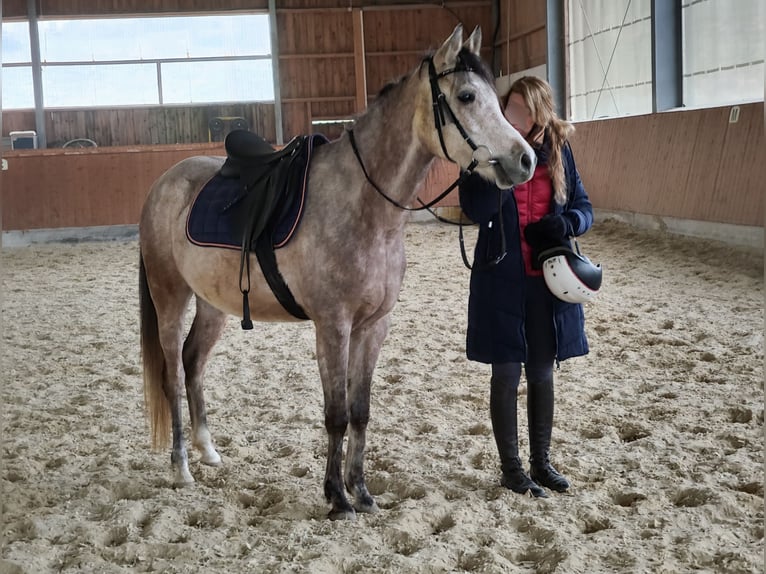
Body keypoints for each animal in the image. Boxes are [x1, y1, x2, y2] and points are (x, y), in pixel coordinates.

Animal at [138, 24, 535, 520]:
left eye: (498, 100)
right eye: (466, 96)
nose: (525, 160)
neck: (364, 207)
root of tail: (164, 184)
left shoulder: (373, 326)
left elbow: (360, 411)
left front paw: (361, 492)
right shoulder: (333, 325)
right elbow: (336, 414)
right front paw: (337, 498)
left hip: (213, 304)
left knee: (193, 363)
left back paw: (208, 451)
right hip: (170, 298)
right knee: (173, 373)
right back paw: (181, 467)